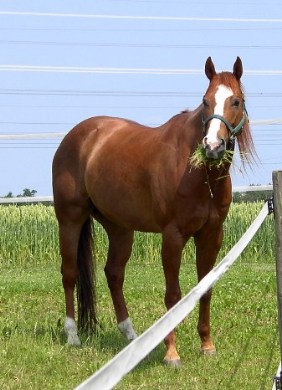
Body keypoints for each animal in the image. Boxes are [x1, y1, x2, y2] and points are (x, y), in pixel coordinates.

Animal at [51, 57, 256, 366]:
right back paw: (73, 335)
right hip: (70, 219)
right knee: (69, 273)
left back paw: (131, 337)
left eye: (236, 101)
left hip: (120, 229)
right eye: (205, 101)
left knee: (114, 273)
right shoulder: (173, 236)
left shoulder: (211, 235)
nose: (212, 147)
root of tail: (76, 136)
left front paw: (207, 346)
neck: (199, 174)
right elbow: (173, 295)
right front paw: (171, 354)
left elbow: (205, 289)